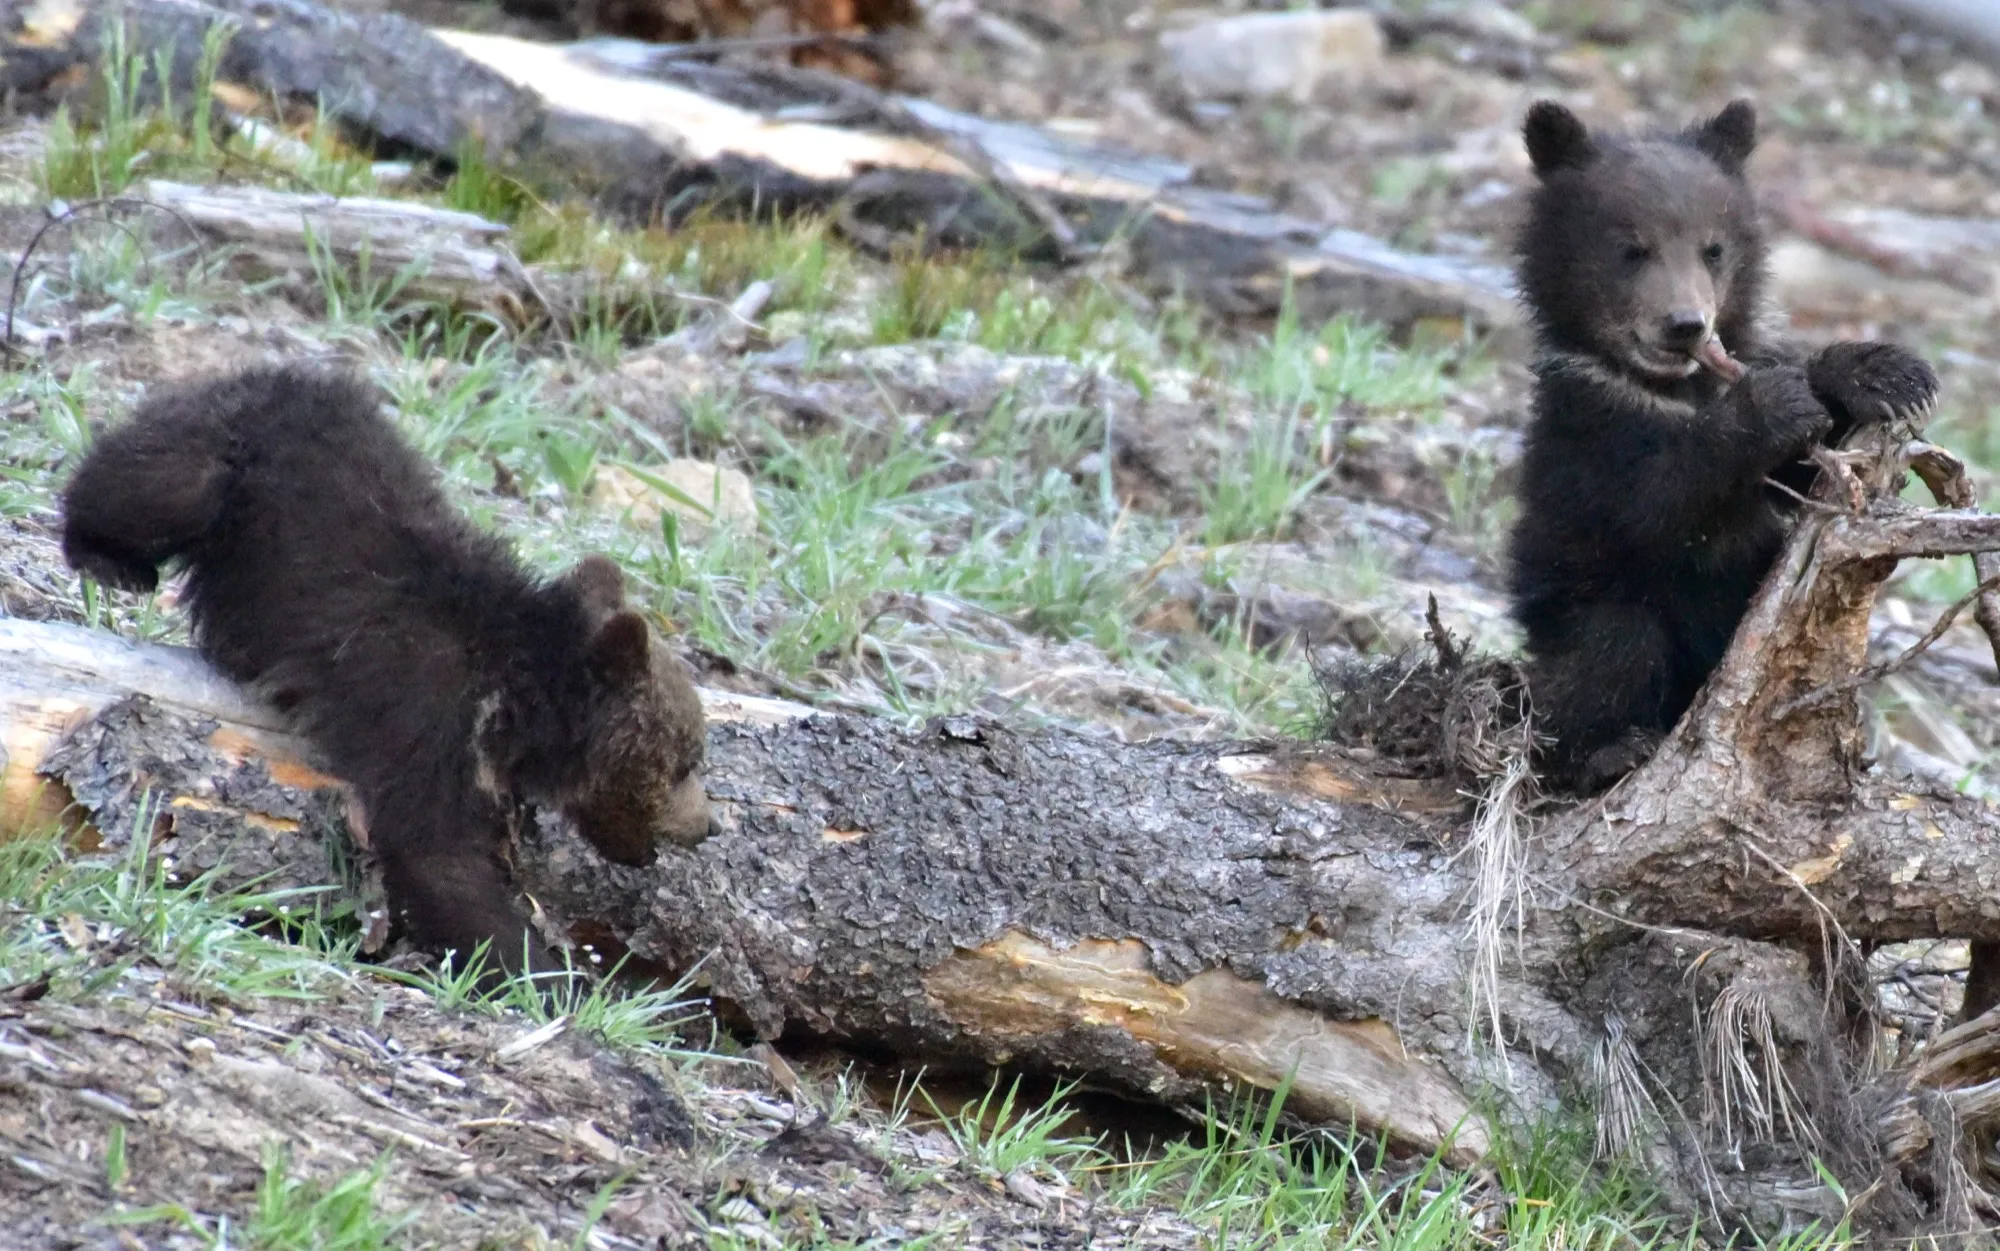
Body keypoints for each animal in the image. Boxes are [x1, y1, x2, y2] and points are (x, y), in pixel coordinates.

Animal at [60, 364, 717, 979]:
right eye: (684, 761)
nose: (706, 825)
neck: (517, 700)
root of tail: (269, 373)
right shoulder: (425, 709)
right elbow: (435, 854)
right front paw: (547, 975)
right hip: (224, 463)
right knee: (143, 485)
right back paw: (108, 558)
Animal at [1508, 98, 1939, 793]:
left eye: (1713, 248)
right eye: (1632, 249)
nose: (1685, 325)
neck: (1678, 388)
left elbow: (1804, 469)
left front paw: (1881, 372)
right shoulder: (1585, 425)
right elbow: (1653, 496)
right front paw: (1770, 405)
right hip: (1582, 602)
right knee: (1608, 649)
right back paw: (1609, 751)